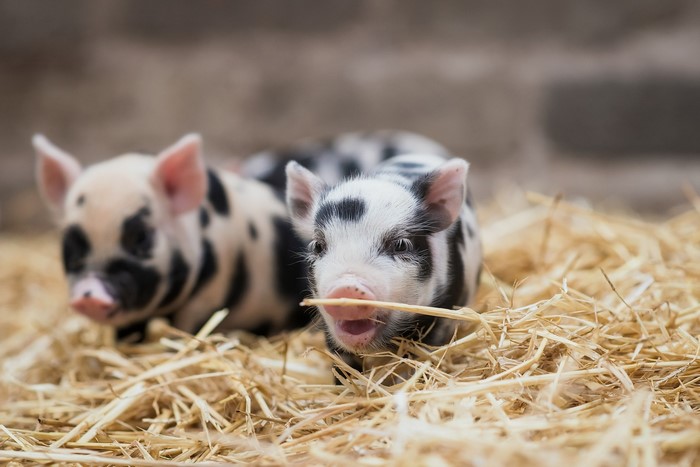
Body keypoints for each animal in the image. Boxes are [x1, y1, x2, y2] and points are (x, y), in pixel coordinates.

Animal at [34, 133, 311, 341]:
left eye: (141, 237)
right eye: (71, 243)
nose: (89, 294)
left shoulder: (209, 294)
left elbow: (187, 330)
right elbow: (129, 331)